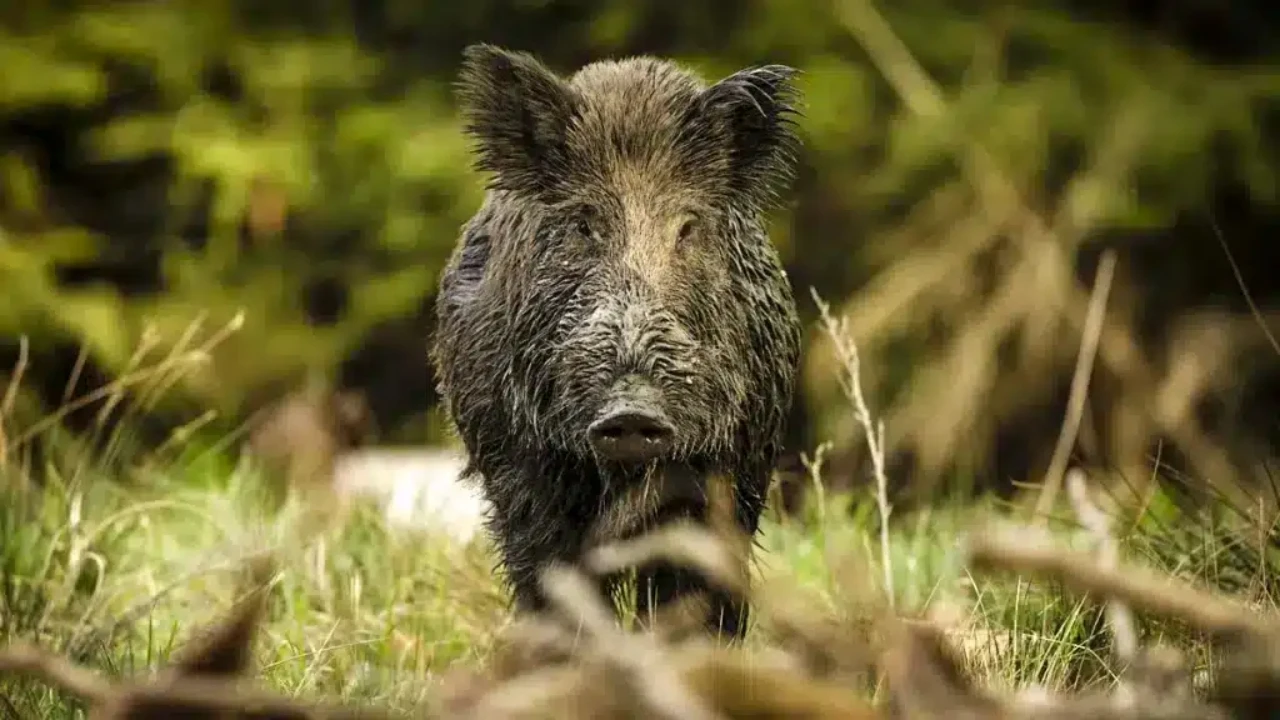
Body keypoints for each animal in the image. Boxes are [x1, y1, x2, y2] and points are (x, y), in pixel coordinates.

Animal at [431, 43, 803, 639]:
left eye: (687, 227)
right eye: (584, 224)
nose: (631, 410)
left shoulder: (733, 468)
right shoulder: (523, 471)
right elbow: (555, 580)